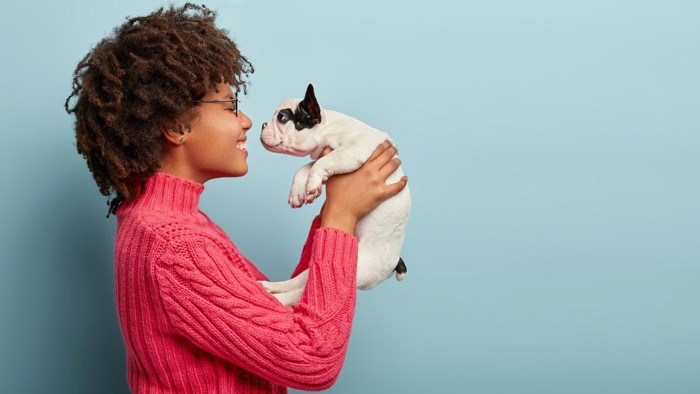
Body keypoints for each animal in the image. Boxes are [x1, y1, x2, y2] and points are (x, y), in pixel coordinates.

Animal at [258, 83, 410, 306]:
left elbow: (319, 164)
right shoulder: (326, 152)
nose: (262, 125)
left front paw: (311, 185)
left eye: (282, 118)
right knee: (302, 281)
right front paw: (299, 191)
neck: (327, 128)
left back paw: (279, 299)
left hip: (359, 268)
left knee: (301, 292)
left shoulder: (352, 151)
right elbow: (306, 167)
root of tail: (395, 262)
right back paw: (272, 287)